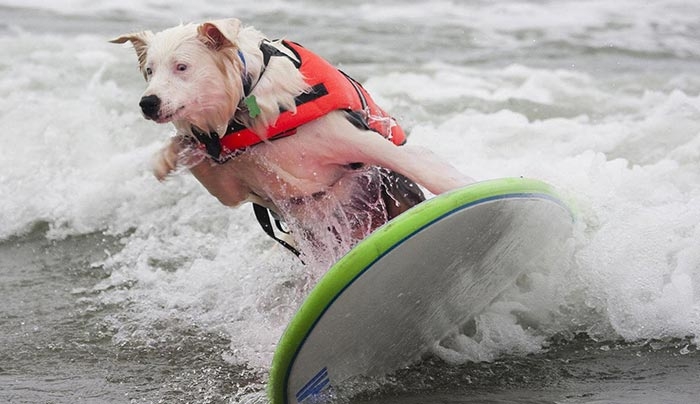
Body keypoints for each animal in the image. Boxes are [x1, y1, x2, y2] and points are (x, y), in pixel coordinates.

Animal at [110, 19, 470, 262]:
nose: (148, 103)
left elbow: (425, 165)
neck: (244, 108)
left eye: (182, 67)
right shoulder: (229, 184)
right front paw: (168, 155)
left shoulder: (356, 139)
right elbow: (197, 152)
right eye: (149, 71)